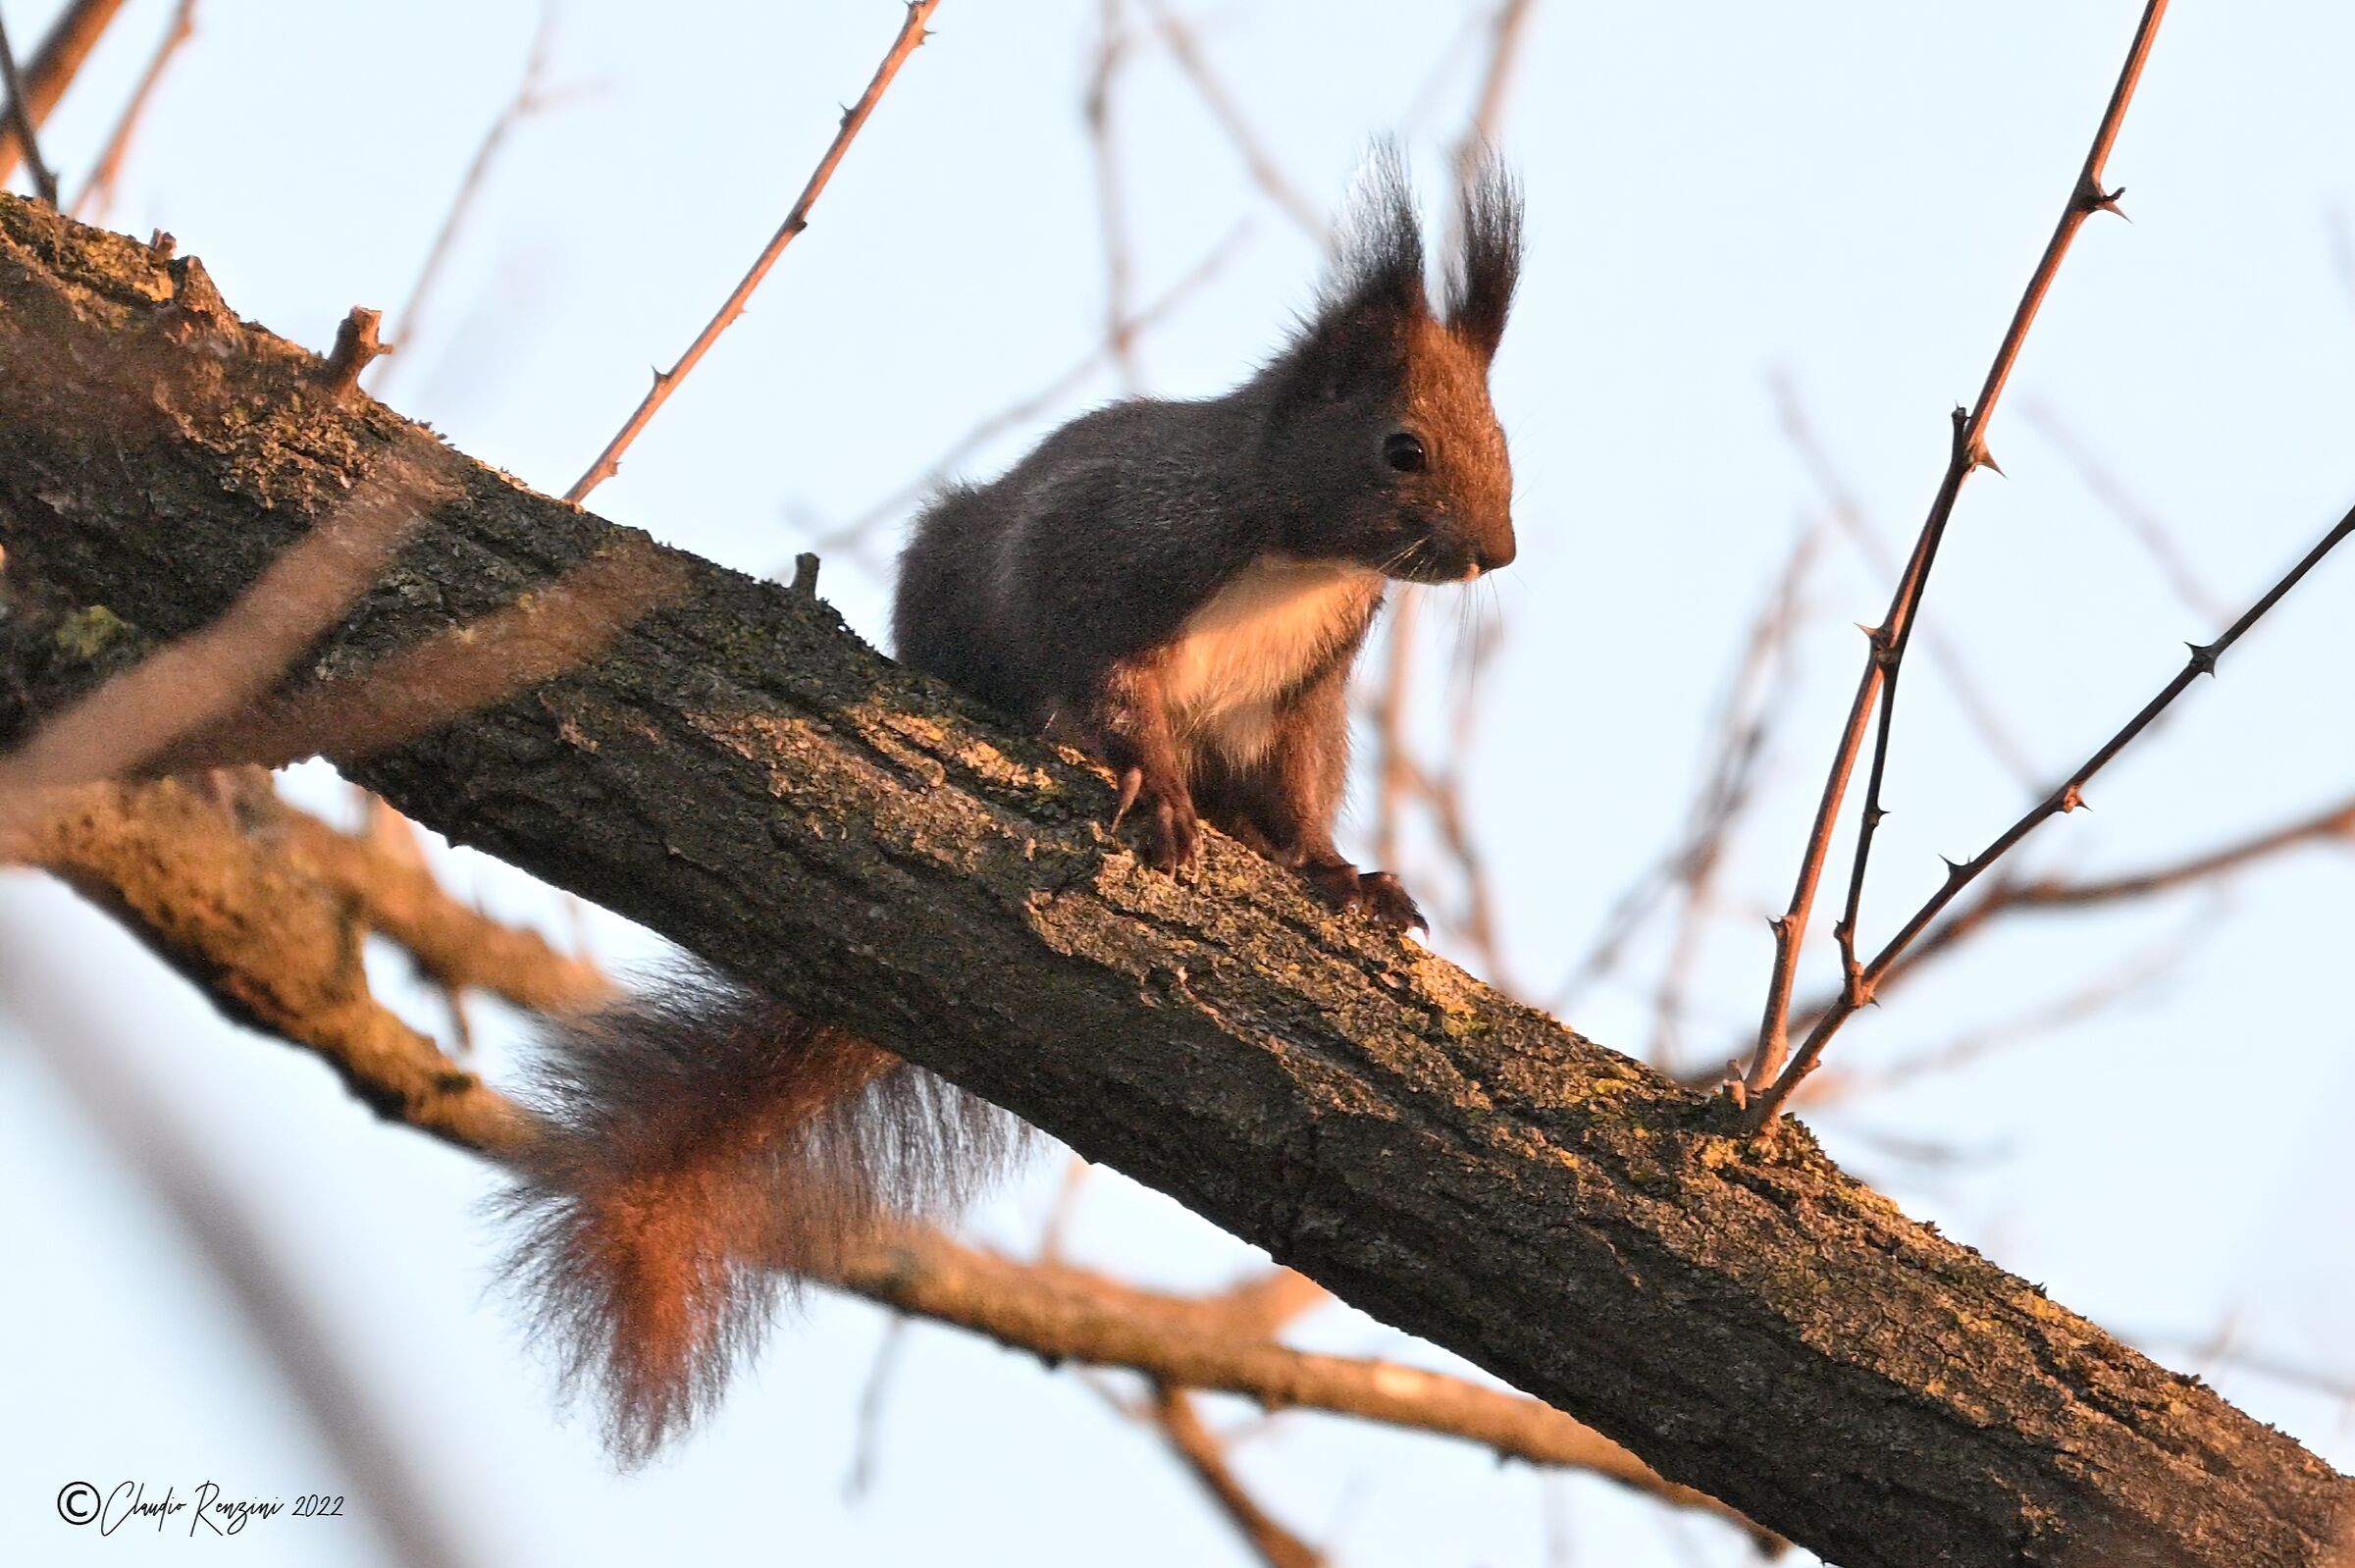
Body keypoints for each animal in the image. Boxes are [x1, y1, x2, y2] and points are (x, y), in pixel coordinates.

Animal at [498, 149, 1523, 1464]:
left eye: (1502, 433)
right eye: (1404, 448)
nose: (1496, 551)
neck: (1299, 556)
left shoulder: (1306, 696)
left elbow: (1293, 796)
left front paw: (1338, 873)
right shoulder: (1106, 552)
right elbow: (1106, 681)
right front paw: (1146, 785)